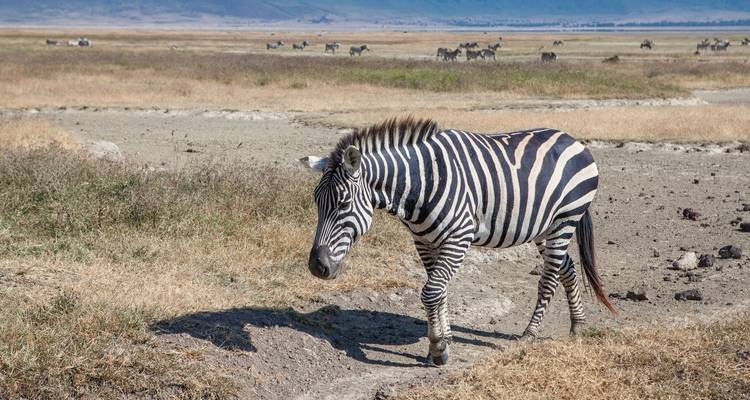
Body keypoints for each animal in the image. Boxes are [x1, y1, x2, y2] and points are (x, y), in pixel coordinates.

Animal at [301, 117, 615, 366]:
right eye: (316, 202)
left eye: (343, 203)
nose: (317, 267)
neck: (420, 184)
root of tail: (571, 138)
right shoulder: (424, 241)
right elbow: (439, 290)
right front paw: (444, 341)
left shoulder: (459, 237)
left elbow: (430, 292)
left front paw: (439, 348)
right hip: (543, 227)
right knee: (567, 267)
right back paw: (577, 326)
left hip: (565, 218)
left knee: (549, 278)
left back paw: (530, 333)